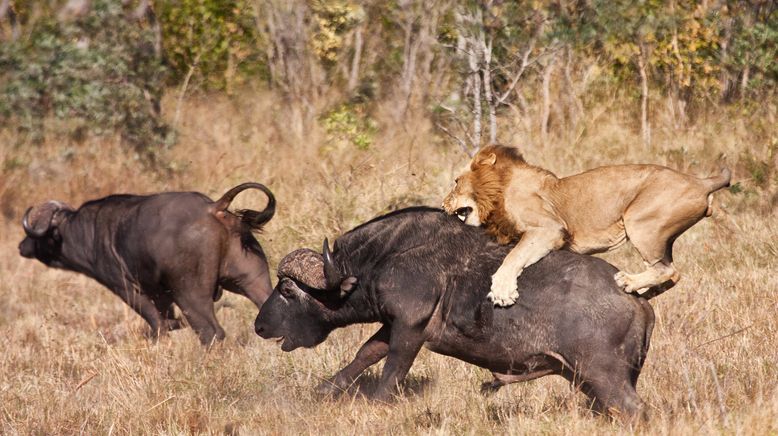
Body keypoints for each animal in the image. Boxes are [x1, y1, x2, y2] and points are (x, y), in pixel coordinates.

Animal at [18, 182, 276, 342]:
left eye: (37, 235)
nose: (22, 246)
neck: (86, 232)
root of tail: (213, 208)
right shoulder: (161, 294)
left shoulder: (125, 288)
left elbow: (156, 323)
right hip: (252, 280)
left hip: (190, 294)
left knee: (210, 332)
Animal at [255, 208, 656, 418]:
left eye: (287, 290)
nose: (259, 325)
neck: (384, 257)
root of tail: (639, 301)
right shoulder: (391, 325)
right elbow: (364, 354)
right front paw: (325, 389)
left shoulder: (409, 329)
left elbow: (392, 371)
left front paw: (379, 404)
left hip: (604, 376)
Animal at [442, 144, 728, 306]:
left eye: (456, 181)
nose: (443, 203)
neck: (498, 191)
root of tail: (701, 181)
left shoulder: (550, 228)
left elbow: (514, 256)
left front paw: (502, 291)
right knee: (673, 273)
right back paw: (641, 291)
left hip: (640, 223)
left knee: (667, 269)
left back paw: (628, 282)